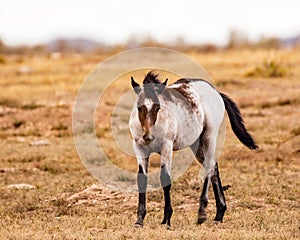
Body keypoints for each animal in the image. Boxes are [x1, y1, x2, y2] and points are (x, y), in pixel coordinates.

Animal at [129, 71, 258, 229]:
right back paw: (219, 214)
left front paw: (167, 220)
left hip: (209, 137)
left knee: (209, 166)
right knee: (214, 167)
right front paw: (139, 220)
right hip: (196, 144)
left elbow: (165, 178)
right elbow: (141, 179)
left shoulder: (167, 147)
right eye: (139, 107)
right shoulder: (139, 148)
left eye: (158, 108)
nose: (148, 137)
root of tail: (215, 91)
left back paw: (202, 213)